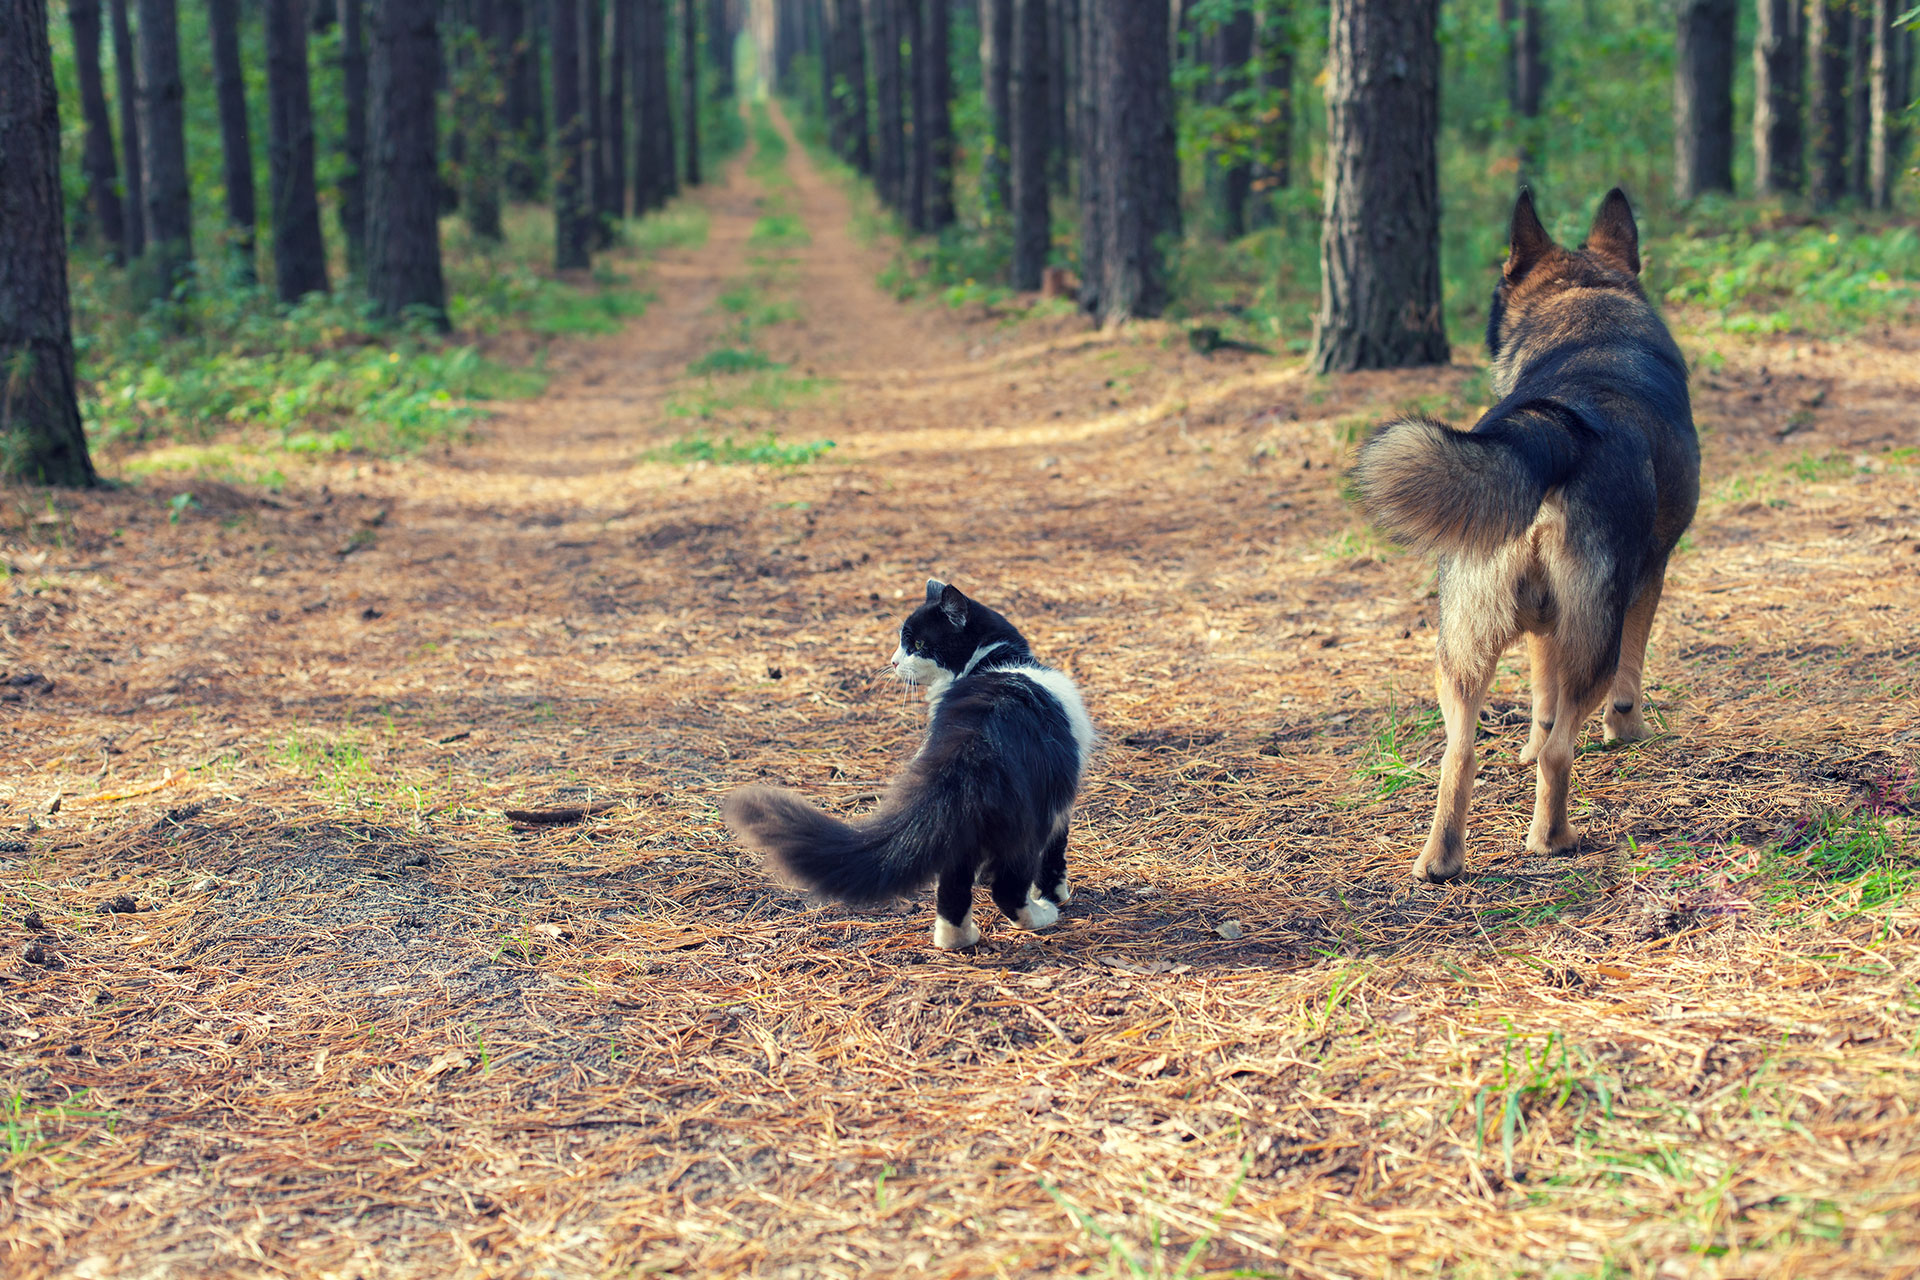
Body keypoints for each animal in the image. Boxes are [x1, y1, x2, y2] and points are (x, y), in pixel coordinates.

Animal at [721, 579, 1098, 951]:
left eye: (917, 644)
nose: (892, 662)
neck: (995, 660)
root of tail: (971, 742)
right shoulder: (1062, 803)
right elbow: (1055, 857)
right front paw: (1058, 894)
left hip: (961, 821)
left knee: (953, 884)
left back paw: (956, 940)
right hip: (1029, 817)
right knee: (1008, 885)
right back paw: (1041, 915)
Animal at [1351, 188, 1697, 882]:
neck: (1586, 315)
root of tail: (1549, 433)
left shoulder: (1542, 627)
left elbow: (1540, 698)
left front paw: (1526, 746)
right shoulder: (1649, 577)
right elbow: (1629, 675)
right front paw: (1628, 731)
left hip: (1459, 649)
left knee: (1459, 756)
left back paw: (1441, 860)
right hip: (1593, 639)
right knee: (1564, 749)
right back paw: (1553, 838)